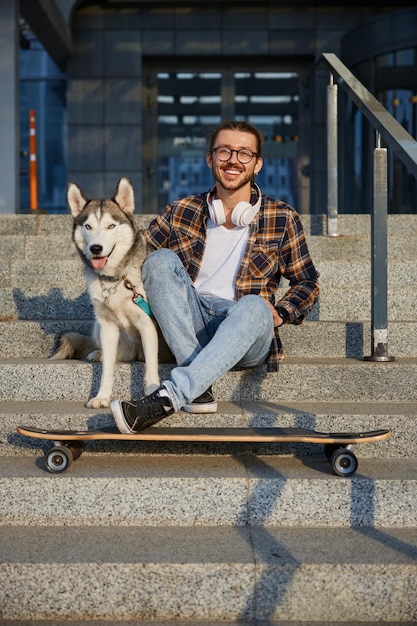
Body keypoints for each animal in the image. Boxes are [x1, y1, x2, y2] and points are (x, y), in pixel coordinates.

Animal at [52, 178, 160, 408]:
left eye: (111, 226)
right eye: (88, 226)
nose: (96, 248)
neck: (115, 280)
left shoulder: (147, 325)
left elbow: (151, 367)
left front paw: (153, 391)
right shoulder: (108, 328)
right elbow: (107, 370)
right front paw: (102, 396)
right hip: (98, 327)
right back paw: (97, 353)